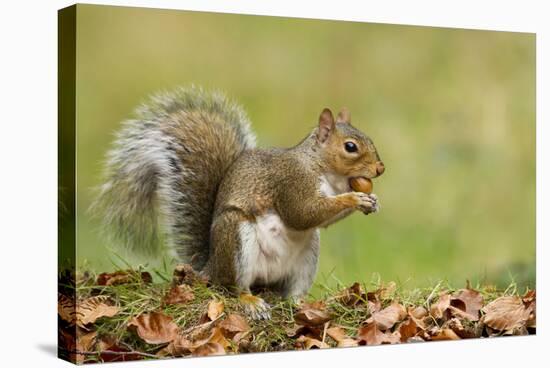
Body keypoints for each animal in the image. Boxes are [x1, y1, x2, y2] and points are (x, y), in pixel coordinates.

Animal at [94, 86, 384, 320]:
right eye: (350, 147)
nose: (380, 169)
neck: (321, 168)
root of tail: (210, 268)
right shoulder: (291, 182)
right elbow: (303, 213)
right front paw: (354, 198)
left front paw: (371, 200)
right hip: (236, 238)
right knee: (233, 287)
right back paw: (251, 301)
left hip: (307, 256)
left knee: (291, 292)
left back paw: (301, 303)